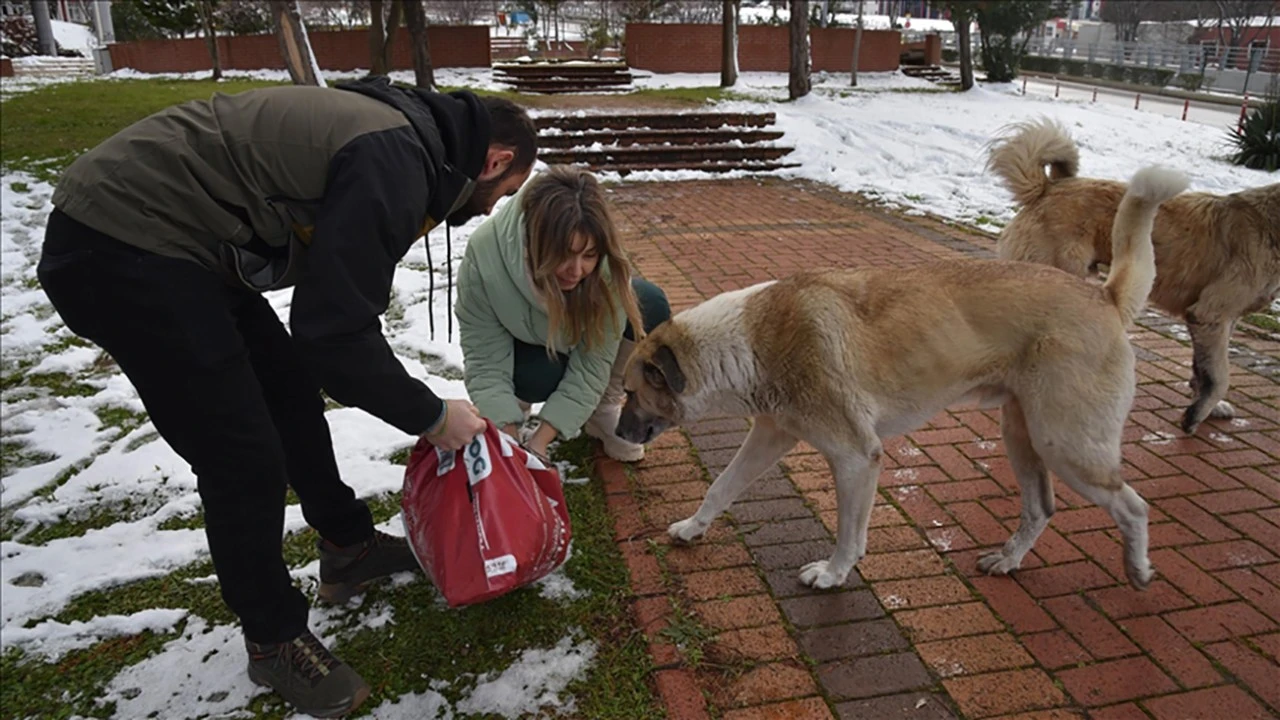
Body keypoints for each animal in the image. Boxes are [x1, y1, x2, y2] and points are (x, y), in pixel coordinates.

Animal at [614, 166, 1182, 589]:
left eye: (629, 391)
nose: (617, 432)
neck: (749, 338)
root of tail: (1103, 295)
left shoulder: (855, 456)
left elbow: (849, 531)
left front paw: (834, 573)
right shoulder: (771, 435)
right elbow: (722, 486)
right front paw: (693, 527)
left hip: (1064, 442)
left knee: (1133, 506)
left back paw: (1137, 568)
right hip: (1021, 434)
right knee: (1042, 506)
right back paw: (1008, 559)